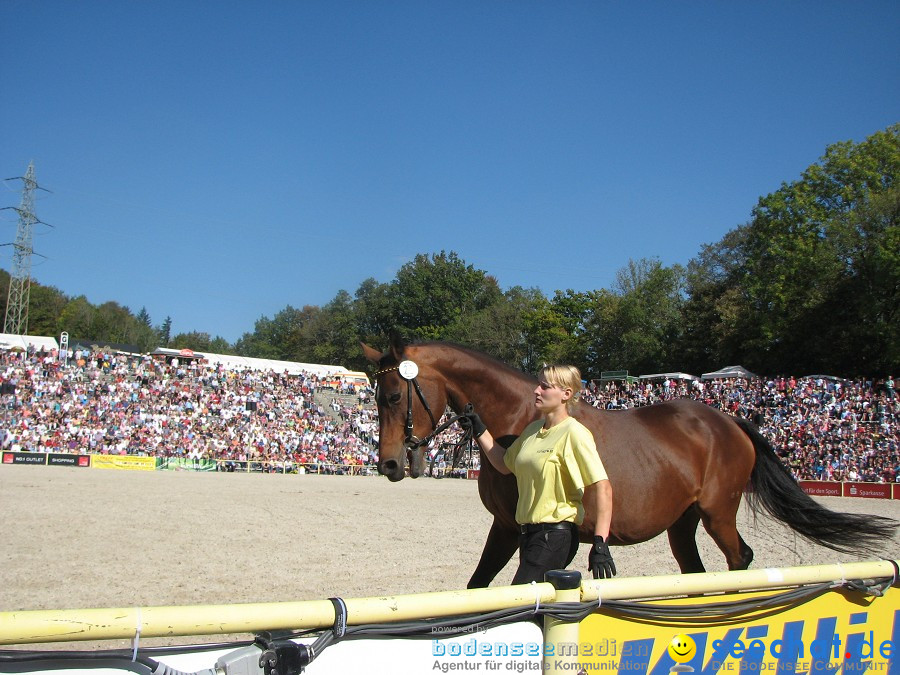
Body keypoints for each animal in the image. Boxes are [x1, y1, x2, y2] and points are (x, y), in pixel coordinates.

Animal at [362, 336, 896, 588]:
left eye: (394, 396)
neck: (521, 417)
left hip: (718, 514)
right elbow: (480, 586)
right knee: (696, 572)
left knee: (739, 561)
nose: (388, 464)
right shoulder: (507, 526)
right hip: (683, 523)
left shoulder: (526, 531)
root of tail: (728, 420)